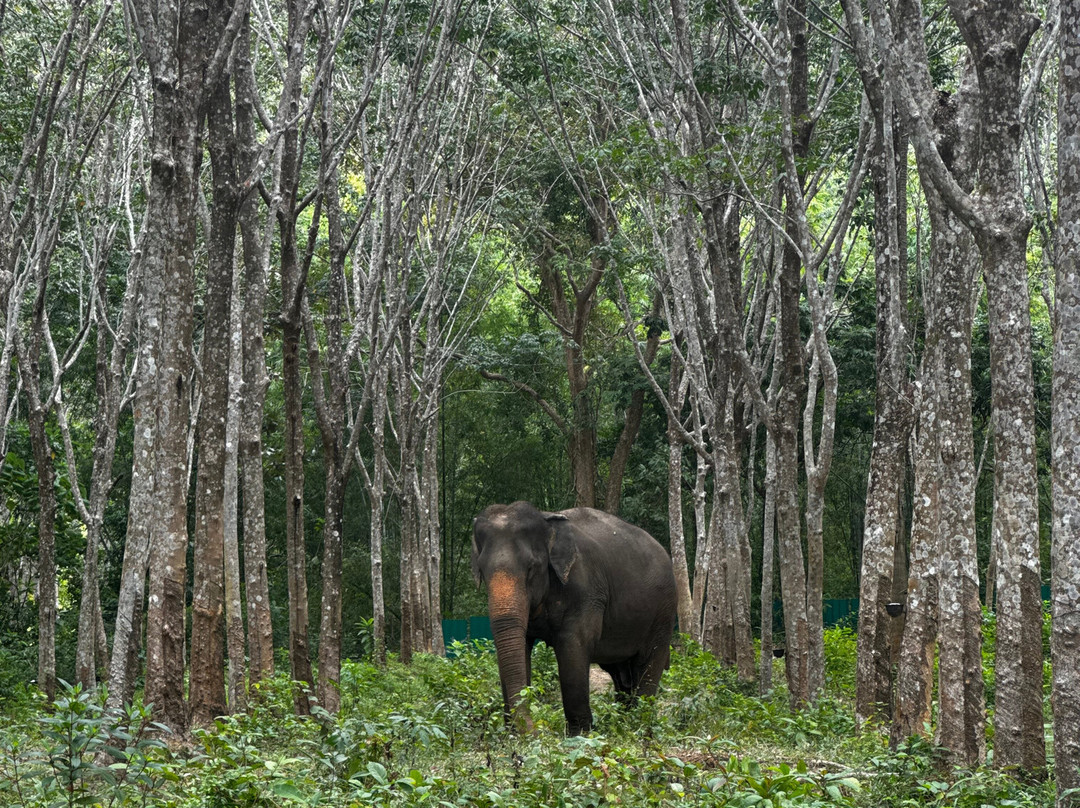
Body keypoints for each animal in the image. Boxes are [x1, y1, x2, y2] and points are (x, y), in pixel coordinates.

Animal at [471, 500, 677, 735]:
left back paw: (640, 726)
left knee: (648, 662)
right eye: (482, 571)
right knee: (621, 674)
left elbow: (573, 647)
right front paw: (511, 734)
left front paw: (579, 735)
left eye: (531, 568)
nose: (534, 730)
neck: (546, 518)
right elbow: (520, 647)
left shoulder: (586, 592)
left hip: (664, 612)